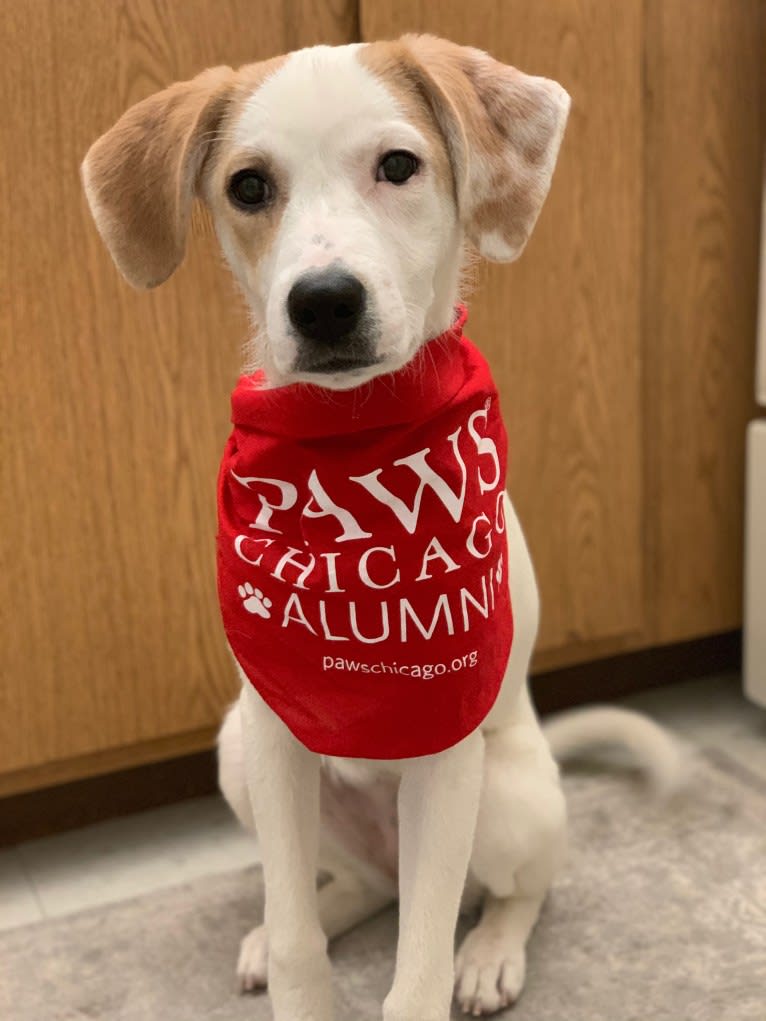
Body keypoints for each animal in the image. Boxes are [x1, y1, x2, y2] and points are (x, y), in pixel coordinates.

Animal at [83, 33, 682, 1021]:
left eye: (399, 166)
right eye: (249, 185)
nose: (324, 301)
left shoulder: (443, 755)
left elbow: (417, 974)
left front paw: (447, 970)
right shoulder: (277, 736)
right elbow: (299, 940)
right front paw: (291, 963)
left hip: (507, 796)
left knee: (514, 890)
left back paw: (490, 955)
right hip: (239, 755)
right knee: (359, 886)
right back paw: (289, 924)